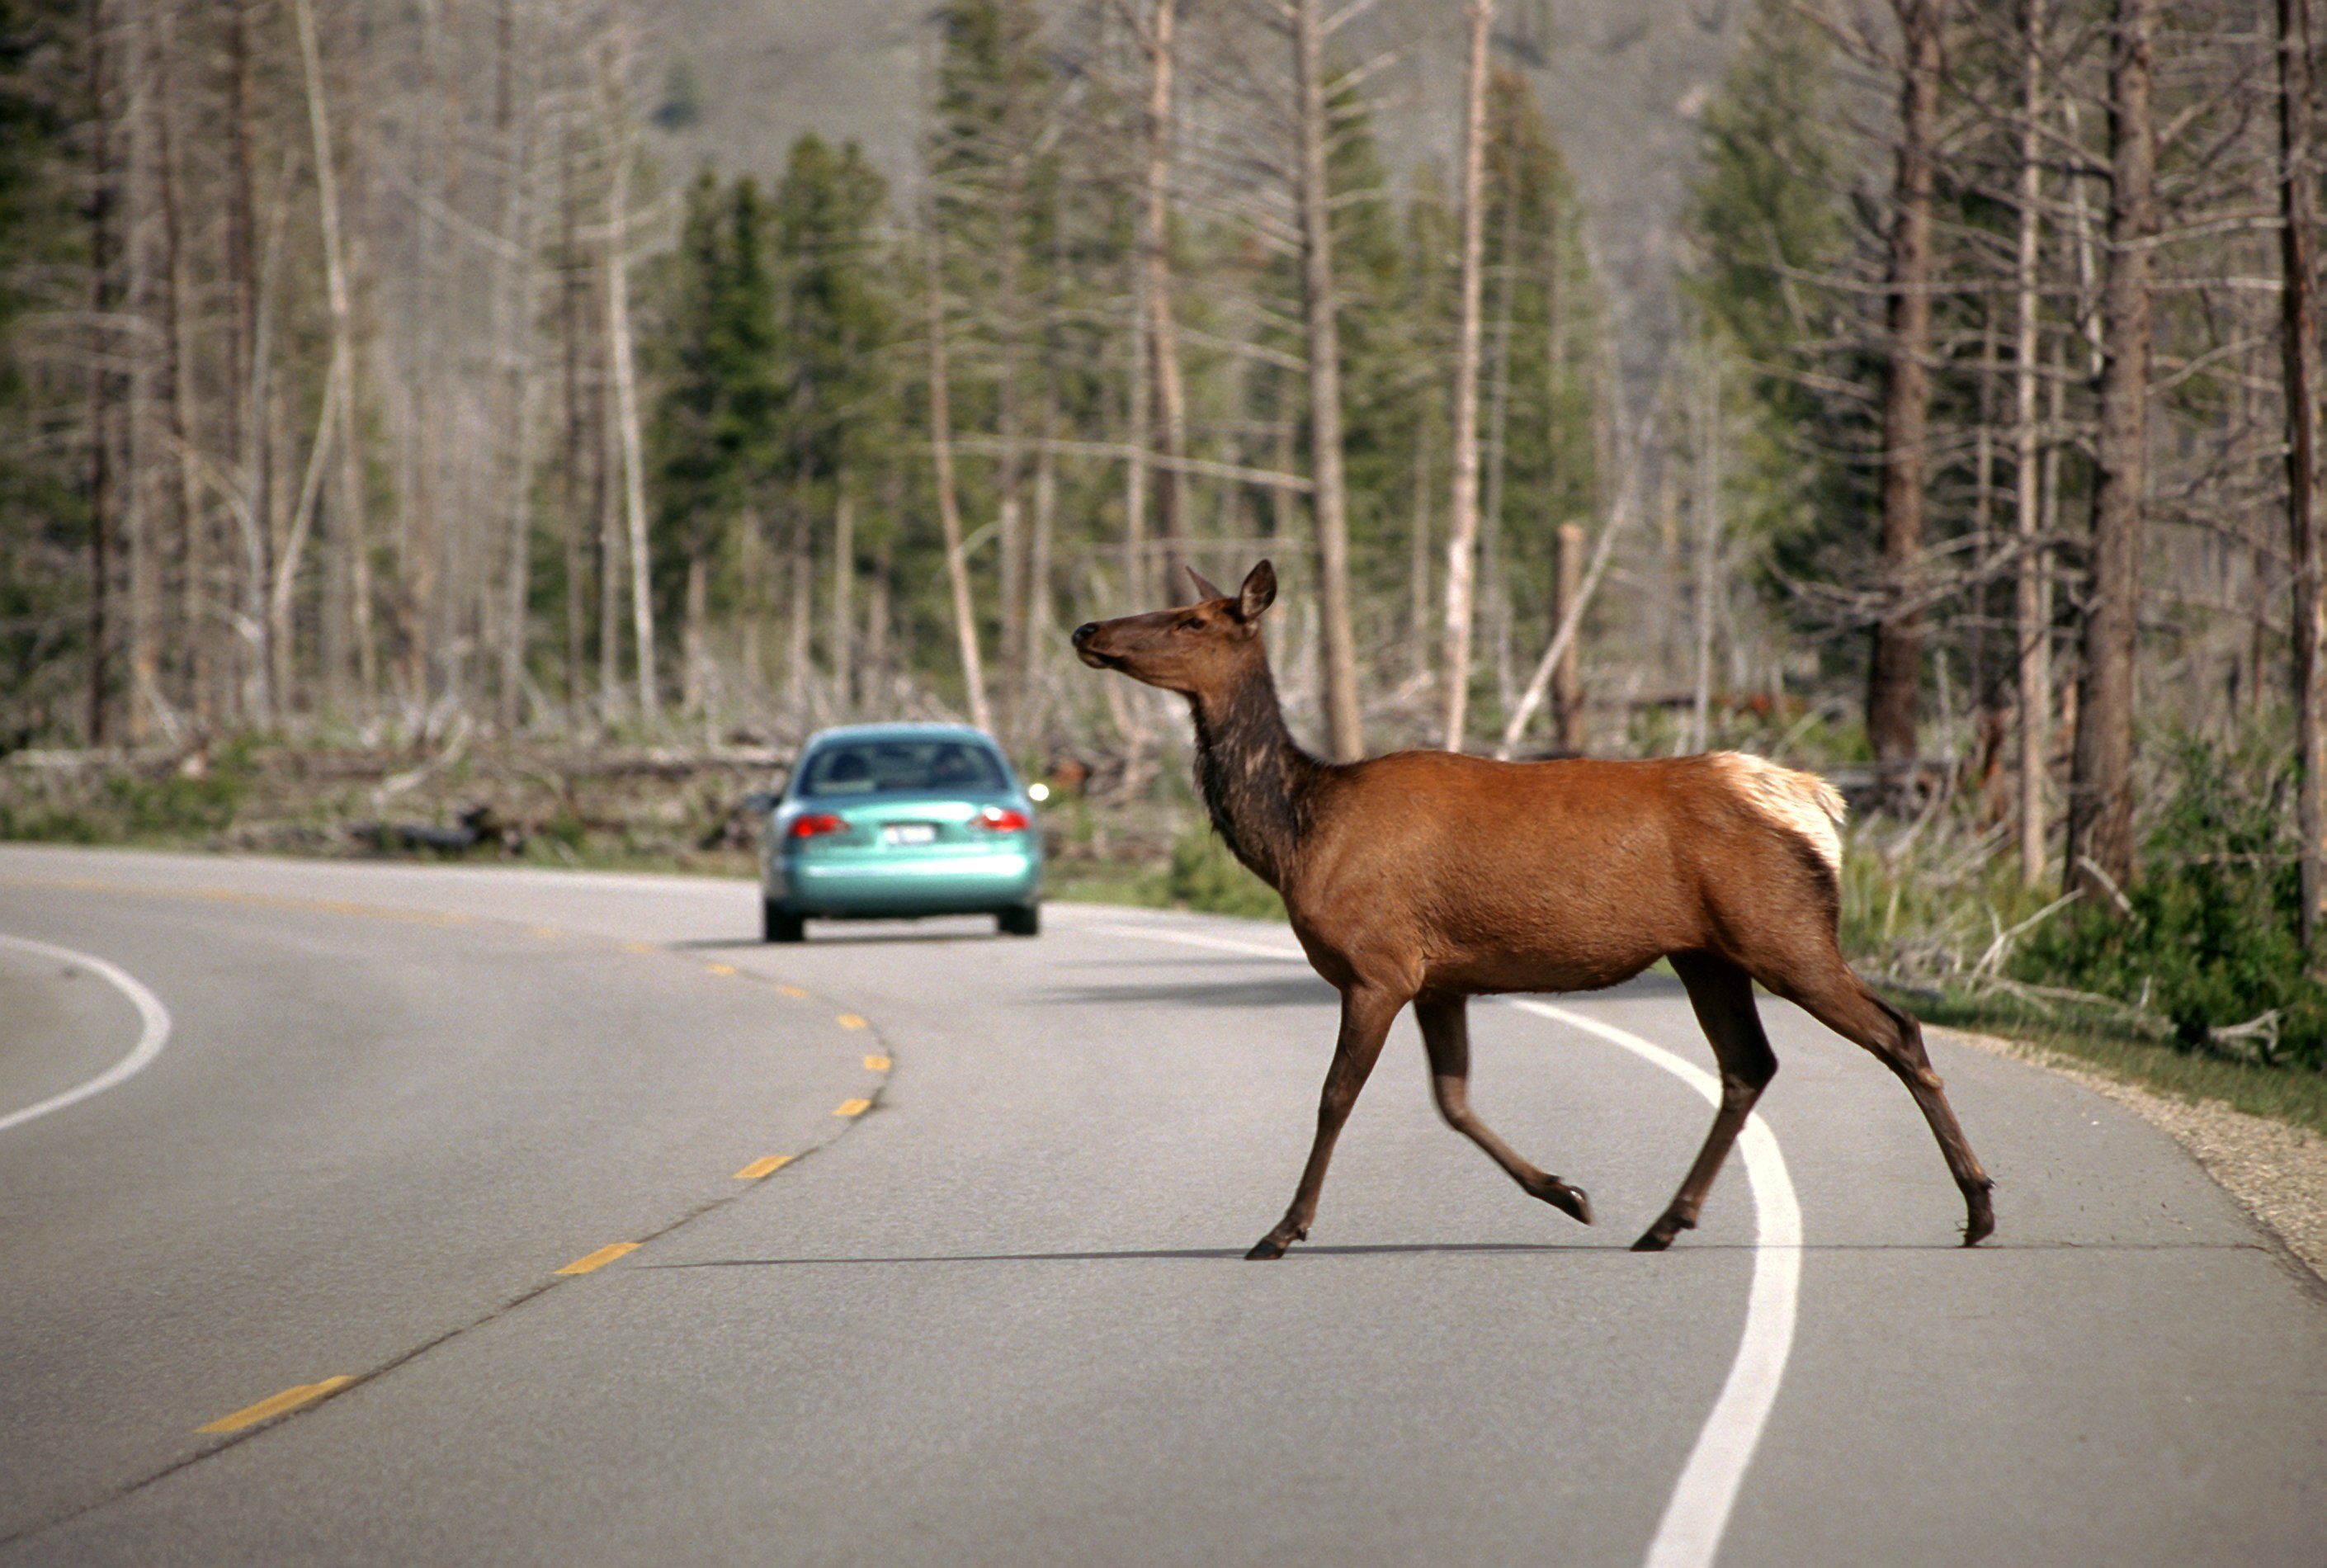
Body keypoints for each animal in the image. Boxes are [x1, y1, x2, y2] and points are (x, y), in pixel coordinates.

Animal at [1072, 560, 1994, 1260]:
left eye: (1193, 618)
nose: (1086, 629)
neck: (1299, 834)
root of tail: (1816, 801)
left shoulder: (1377, 966)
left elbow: (1336, 1097)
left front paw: (1281, 1229)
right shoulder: (1438, 977)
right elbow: (1452, 1100)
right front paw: (1567, 1191)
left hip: (1784, 931)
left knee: (1896, 1030)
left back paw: (1980, 1207)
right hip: (1707, 950)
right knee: (1748, 1065)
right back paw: (1666, 1221)